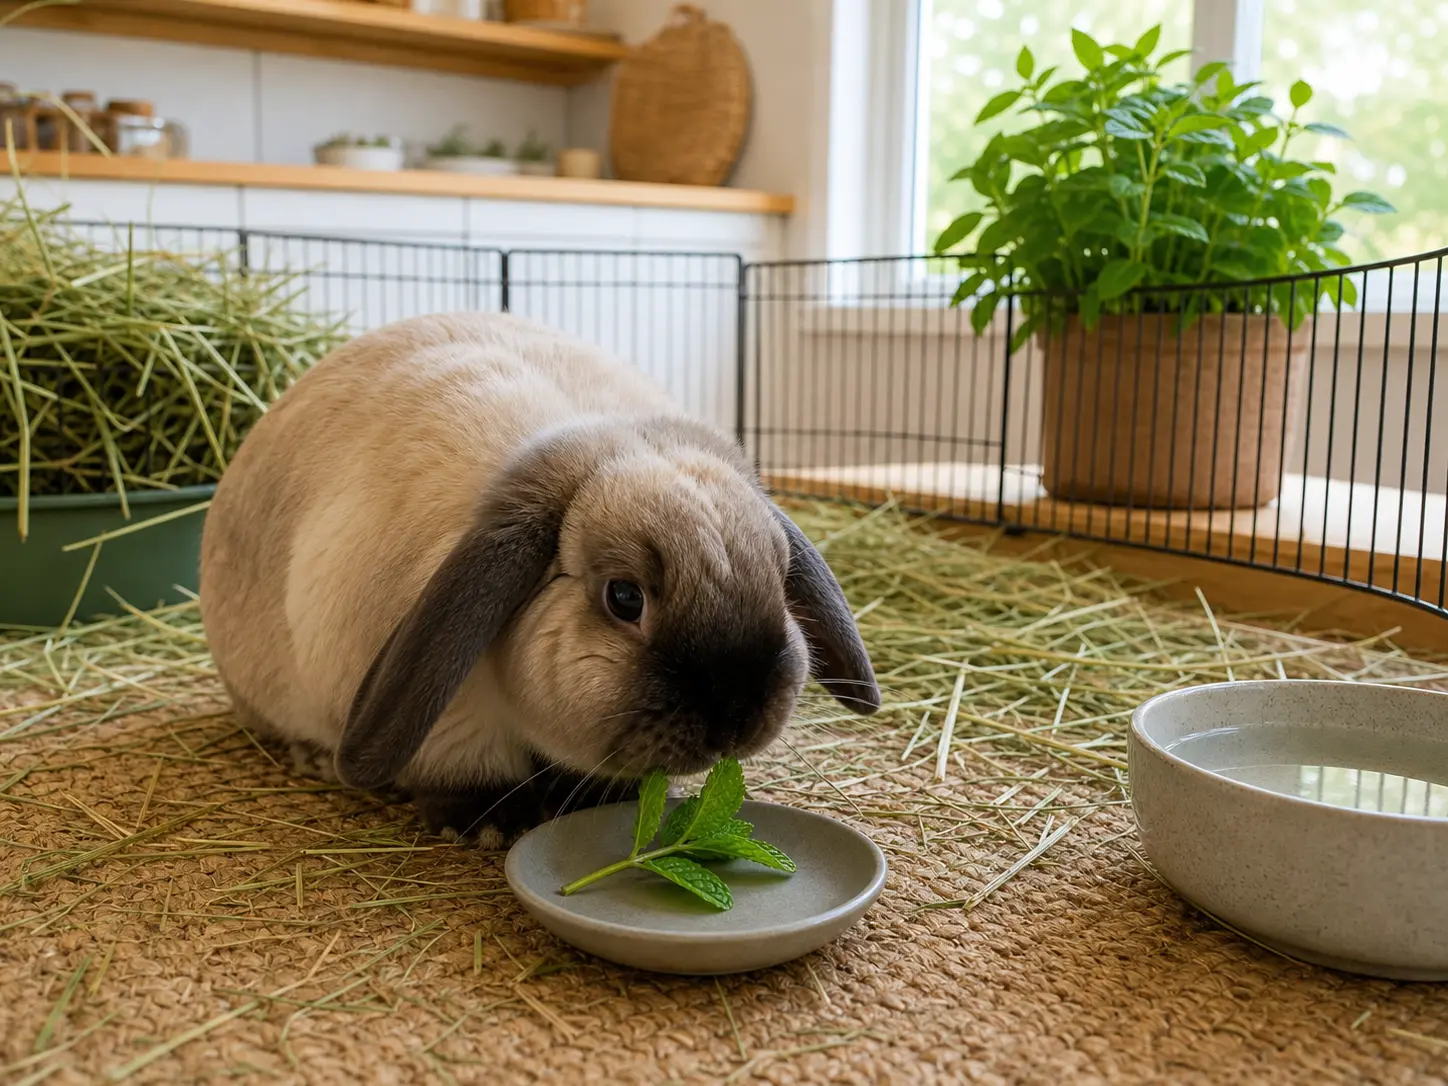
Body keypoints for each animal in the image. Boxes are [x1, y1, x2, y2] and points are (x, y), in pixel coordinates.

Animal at [199, 312, 880, 847]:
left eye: (778, 576)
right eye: (624, 597)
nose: (736, 714)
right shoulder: (450, 727)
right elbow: (464, 776)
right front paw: (490, 825)